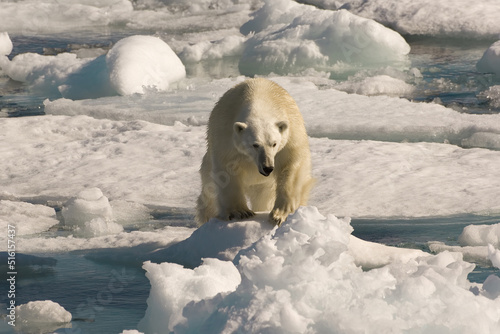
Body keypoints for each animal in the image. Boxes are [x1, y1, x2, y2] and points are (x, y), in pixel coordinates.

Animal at [195, 77, 312, 226]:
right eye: (255, 145)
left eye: (274, 144)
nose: (267, 167)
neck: (259, 97)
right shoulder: (226, 138)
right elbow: (226, 173)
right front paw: (241, 212)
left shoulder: (291, 136)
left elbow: (290, 167)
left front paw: (279, 215)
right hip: (208, 162)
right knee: (208, 190)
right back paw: (207, 216)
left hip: (264, 184)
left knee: (262, 197)